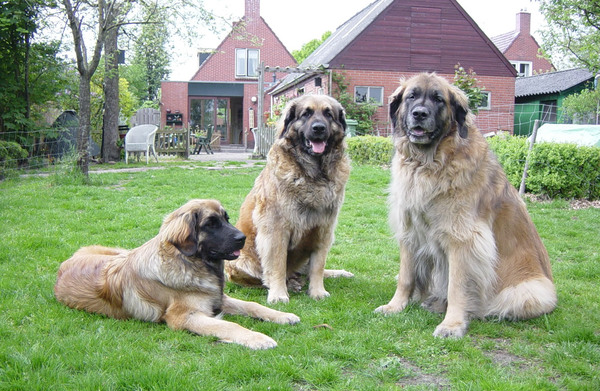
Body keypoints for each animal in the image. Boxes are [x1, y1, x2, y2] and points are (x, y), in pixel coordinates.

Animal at [54, 199, 300, 350]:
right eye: (211, 224)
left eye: (226, 219)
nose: (243, 238)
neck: (189, 262)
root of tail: (63, 266)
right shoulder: (184, 316)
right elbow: (229, 325)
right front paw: (258, 338)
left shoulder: (217, 298)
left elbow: (253, 305)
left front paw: (283, 315)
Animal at [227, 95, 354, 304]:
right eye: (306, 114)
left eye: (328, 114)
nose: (319, 128)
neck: (313, 174)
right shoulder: (276, 230)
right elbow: (277, 265)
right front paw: (278, 294)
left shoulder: (324, 229)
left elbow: (318, 266)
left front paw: (318, 291)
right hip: (241, 259)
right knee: (262, 278)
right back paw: (290, 284)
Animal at [376, 75, 556, 338]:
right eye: (411, 96)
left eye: (438, 99)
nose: (419, 114)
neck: (429, 162)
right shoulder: (410, 230)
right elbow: (406, 277)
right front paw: (395, 306)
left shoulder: (464, 239)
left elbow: (457, 286)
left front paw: (453, 324)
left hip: (529, 291)